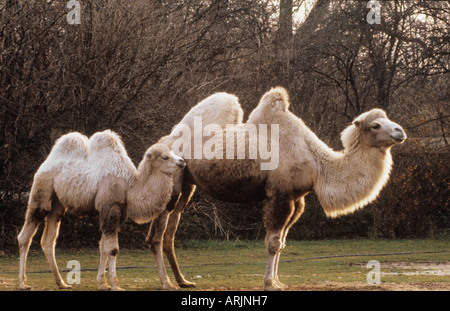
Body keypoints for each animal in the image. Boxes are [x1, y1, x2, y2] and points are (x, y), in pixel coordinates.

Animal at [18, 130, 185, 292]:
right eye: (165, 157)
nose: (182, 161)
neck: (129, 187)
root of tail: (44, 164)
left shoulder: (119, 212)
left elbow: (103, 247)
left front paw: (103, 283)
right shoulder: (110, 208)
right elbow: (112, 249)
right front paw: (115, 285)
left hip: (58, 203)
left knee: (48, 239)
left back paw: (61, 283)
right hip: (42, 190)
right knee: (26, 234)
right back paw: (23, 283)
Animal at [147, 86, 404, 292]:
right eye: (375, 125)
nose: (399, 131)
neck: (318, 164)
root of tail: (165, 142)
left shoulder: (297, 199)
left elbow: (282, 243)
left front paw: (279, 281)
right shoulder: (280, 195)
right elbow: (272, 242)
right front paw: (270, 283)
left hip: (186, 184)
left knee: (169, 231)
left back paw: (183, 281)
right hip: (171, 183)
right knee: (156, 235)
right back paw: (166, 283)